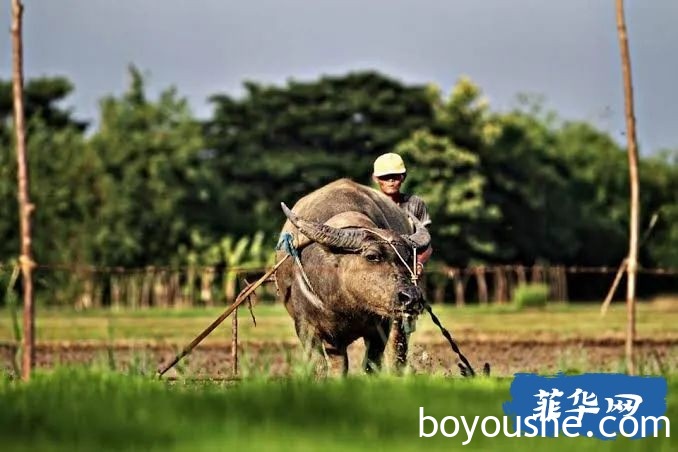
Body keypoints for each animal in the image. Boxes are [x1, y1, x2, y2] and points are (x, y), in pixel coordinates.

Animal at [274, 178, 430, 376]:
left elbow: (371, 365)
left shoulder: (381, 328)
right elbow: (320, 368)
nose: (412, 297)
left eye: (408, 257)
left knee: (397, 352)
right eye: (372, 256)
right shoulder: (306, 328)